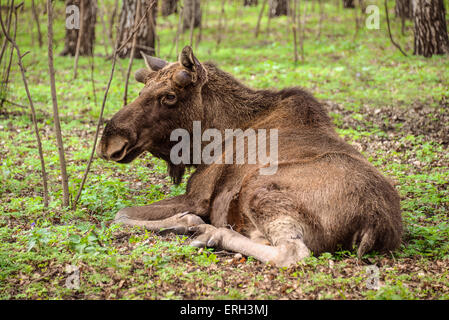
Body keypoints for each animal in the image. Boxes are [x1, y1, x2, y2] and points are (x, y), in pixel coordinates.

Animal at [98, 46, 402, 266]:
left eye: (170, 96)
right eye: (141, 90)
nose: (109, 142)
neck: (209, 139)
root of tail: (374, 222)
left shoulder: (198, 196)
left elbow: (120, 214)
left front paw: (189, 223)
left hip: (259, 188)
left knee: (292, 252)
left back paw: (212, 233)